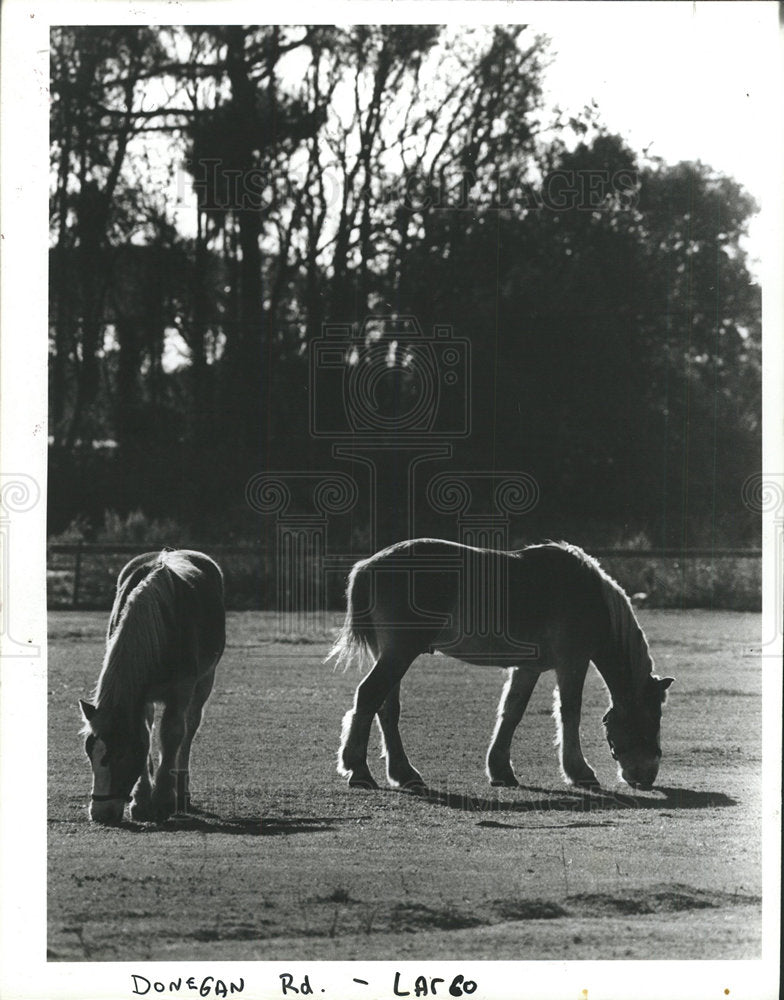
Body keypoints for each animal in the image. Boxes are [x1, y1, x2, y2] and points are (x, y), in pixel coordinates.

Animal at [79, 549, 226, 825]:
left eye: (120, 755)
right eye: (90, 753)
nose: (101, 814)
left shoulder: (182, 690)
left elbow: (172, 735)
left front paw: (163, 800)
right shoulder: (142, 696)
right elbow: (145, 736)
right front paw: (141, 801)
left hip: (204, 681)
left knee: (189, 730)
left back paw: (182, 792)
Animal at [329, 538, 673, 792]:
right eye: (651, 718)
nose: (646, 776)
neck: (589, 595)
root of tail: (367, 566)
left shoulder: (528, 668)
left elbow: (512, 712)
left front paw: (501, 770)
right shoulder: (572, 662)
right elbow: (570, 712)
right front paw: (579, 771)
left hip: (391, 655)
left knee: (386, 708)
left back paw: (403, 773)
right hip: (399, 653)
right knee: (369, 696)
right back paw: (358, 769)